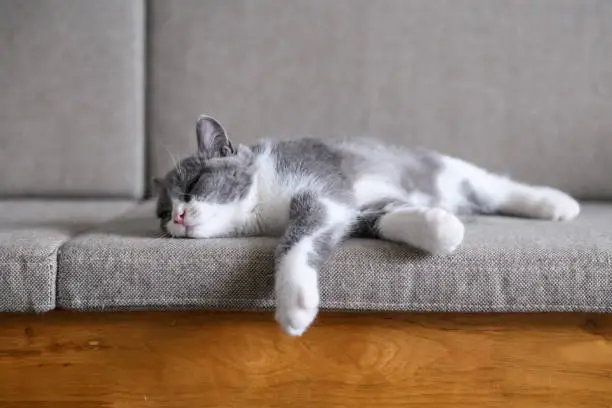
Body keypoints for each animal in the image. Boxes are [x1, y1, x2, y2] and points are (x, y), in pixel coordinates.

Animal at [155, 116, 580, 336]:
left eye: (193, 186)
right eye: (162, 212)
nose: (177, 216)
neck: (262, 198)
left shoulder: (323, 188)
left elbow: (297, 237)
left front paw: (294, 303)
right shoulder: (349, 209)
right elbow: (382, 217)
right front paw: (440, 227)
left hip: (448, 169)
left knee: (497, 186)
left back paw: (556, 203)